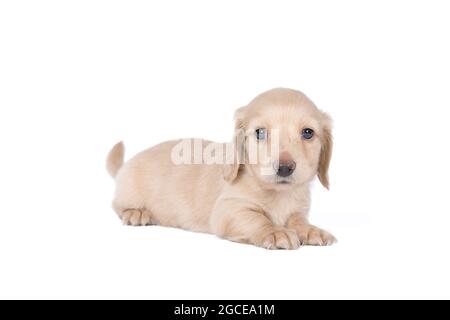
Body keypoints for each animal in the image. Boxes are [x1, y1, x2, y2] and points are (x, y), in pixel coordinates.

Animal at [107, 88, 336, 250]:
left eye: (308, 133)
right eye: (260, 133)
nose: (285, 168)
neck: (278, 194)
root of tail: (124, 166)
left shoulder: (298, 211)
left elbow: (298, 221)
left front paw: (311, 230)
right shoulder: (229, 209)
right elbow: (256, 218)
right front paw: (275, 231)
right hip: (128, 192)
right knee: (117, 205)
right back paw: (136, 213)